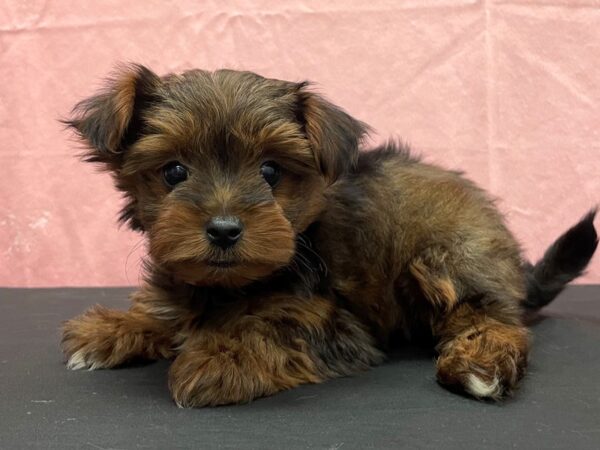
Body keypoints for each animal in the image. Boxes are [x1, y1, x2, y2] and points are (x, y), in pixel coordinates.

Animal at [59, 64, 596, 408]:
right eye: (173, 171)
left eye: (271, 171)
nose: (224, 229)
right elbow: (170, 310)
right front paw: (116, 328)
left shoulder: (337, 322)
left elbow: (274, 326)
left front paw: (221, 356)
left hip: (451, 255)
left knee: (491, 317)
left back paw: (480, 366)